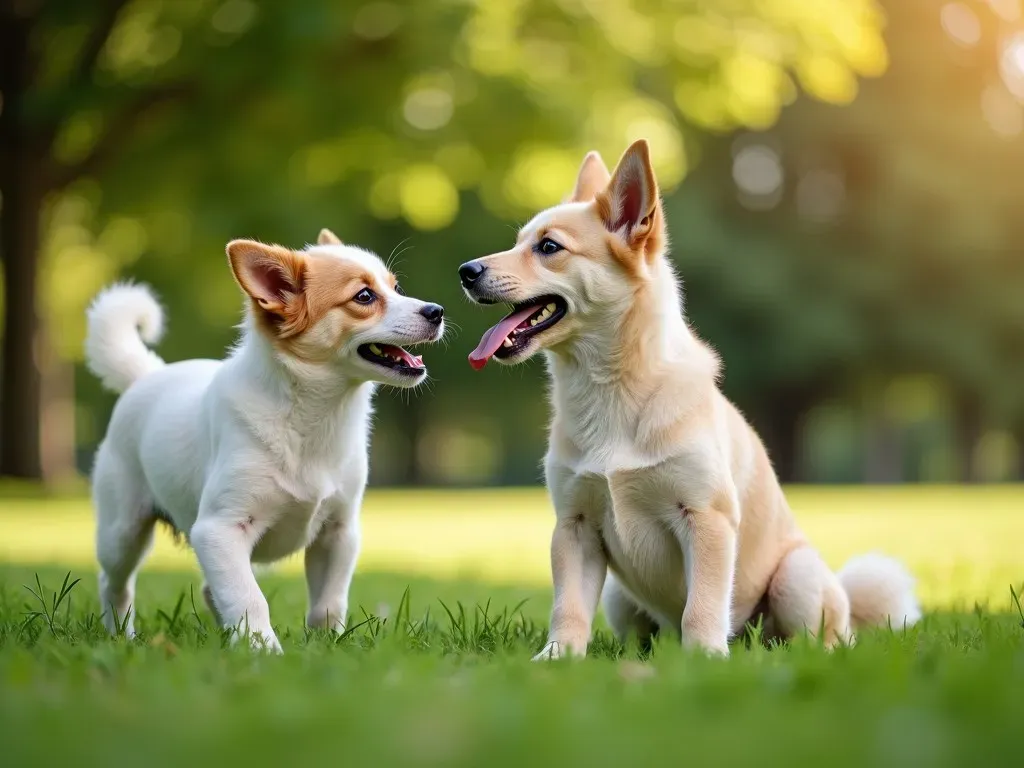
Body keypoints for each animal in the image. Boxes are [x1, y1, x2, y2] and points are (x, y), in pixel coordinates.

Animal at [460, 141, 925, 659]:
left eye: (548, 247)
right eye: (520, 241)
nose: (465, 271)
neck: (610, 391)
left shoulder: (705, 518)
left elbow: (701, 606)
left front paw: (704, 659)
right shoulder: (574, 526)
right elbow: (569, 609)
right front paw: (558, 658)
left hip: (797, 579)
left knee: (819, 640)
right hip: (619, 598)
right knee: (645, 632)